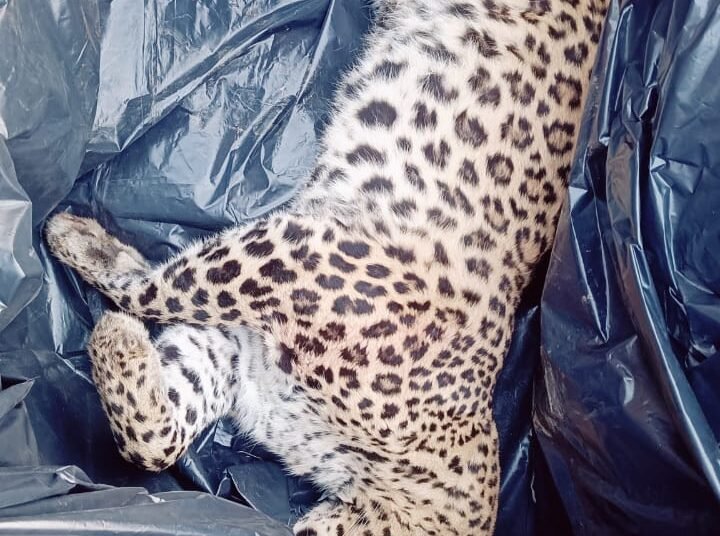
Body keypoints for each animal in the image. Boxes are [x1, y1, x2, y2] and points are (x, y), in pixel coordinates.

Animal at [45, 0, 608, 534]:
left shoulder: (237, 349)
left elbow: (153, 439)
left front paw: (114, 328)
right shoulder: (301, 252)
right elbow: (162, 289)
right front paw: (76, 244)